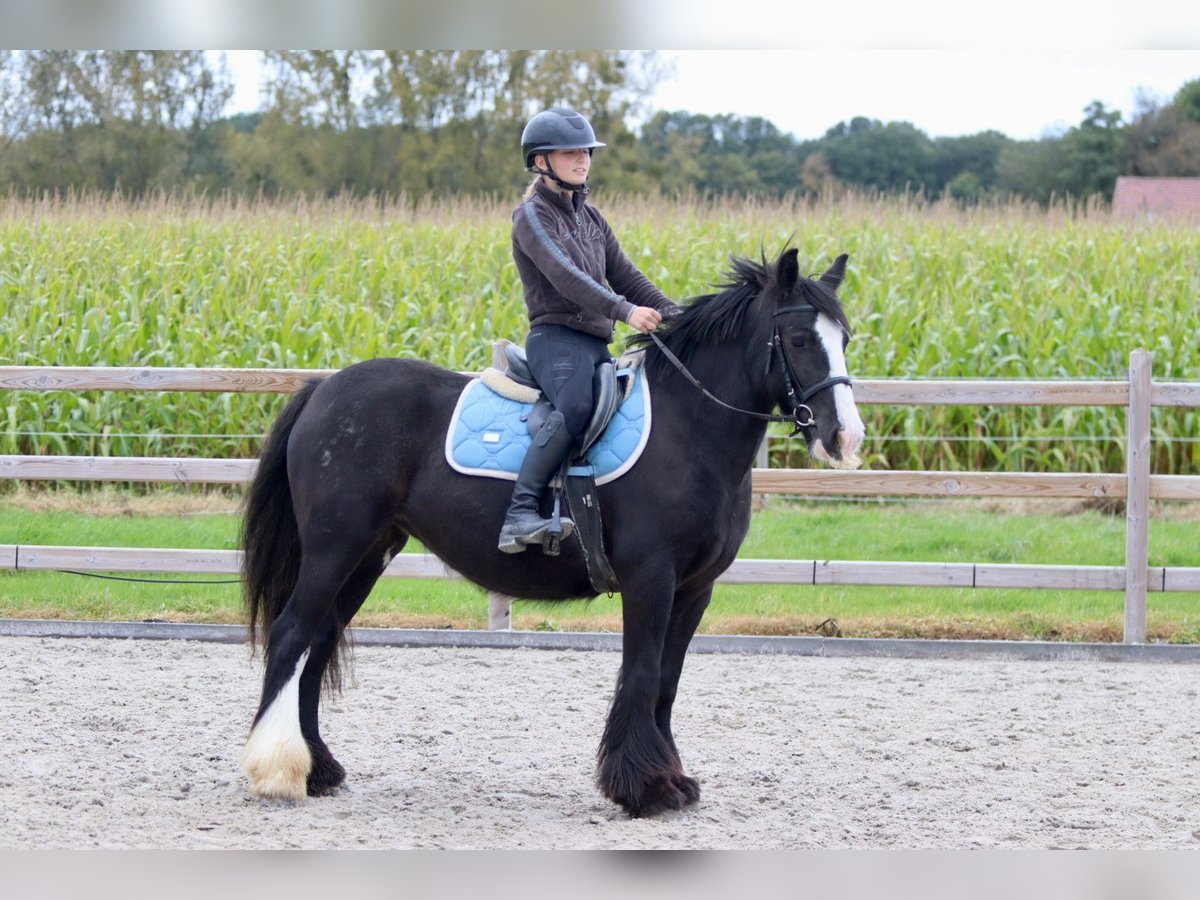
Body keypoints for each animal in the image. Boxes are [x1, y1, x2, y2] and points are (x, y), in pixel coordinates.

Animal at [241, 244, 864, 816]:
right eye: (800, 340)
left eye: (846, 338)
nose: (845, 437)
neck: (688, 428)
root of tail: (323, 390)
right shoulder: (650, 580)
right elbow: (641, 675)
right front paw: (644, 789)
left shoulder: (695, 589)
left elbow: (666, 683)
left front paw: (671, 781)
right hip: (334, 548)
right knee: (292, 634)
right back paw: (277, 772)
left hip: (370, 553)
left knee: (320, 642)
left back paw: (319, 769)